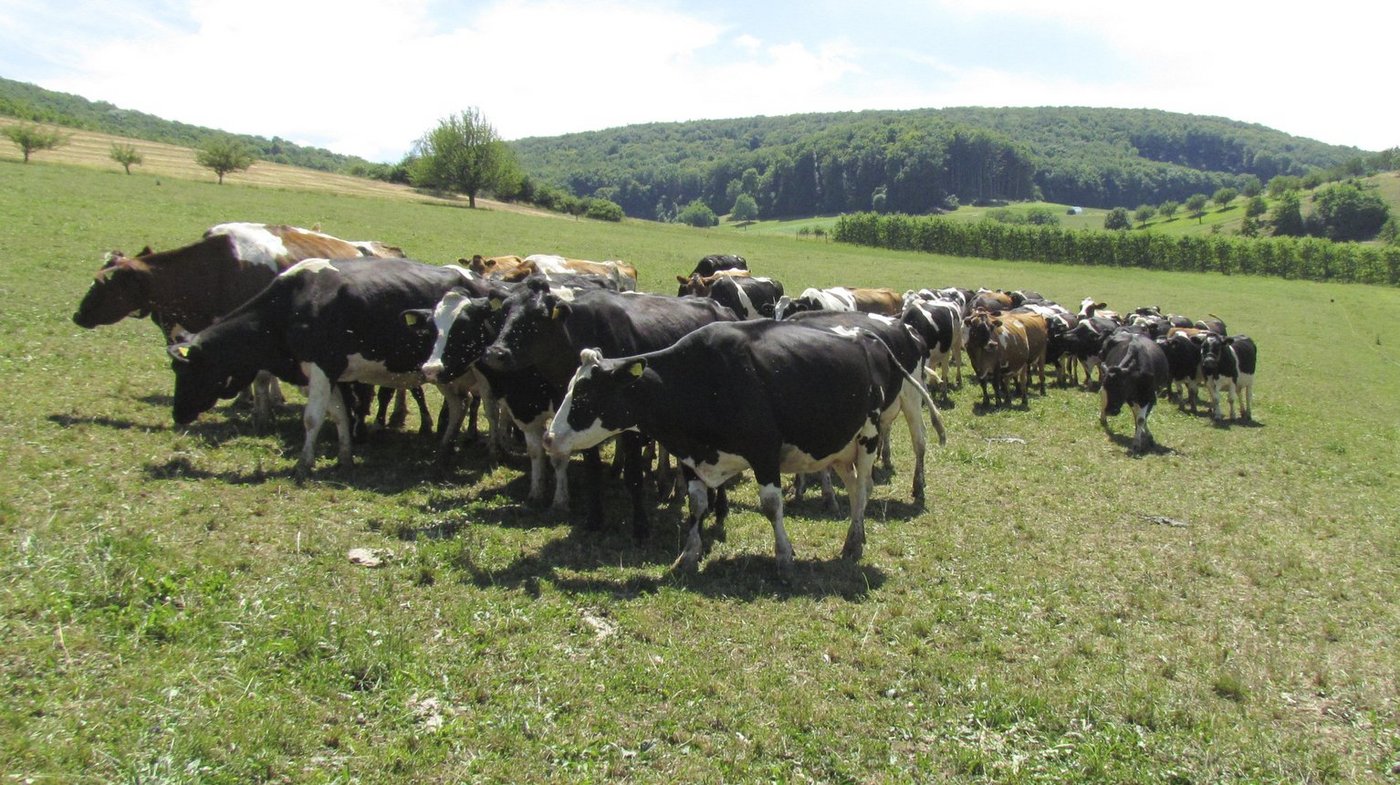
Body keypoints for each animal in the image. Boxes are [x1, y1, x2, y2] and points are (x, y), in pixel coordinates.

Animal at [73, 222, 415, 430]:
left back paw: (396, 415)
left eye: (103, 284)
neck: (217, 268)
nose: (78, 315)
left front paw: (261, 414)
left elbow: (261, 378)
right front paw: (247, 401)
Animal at [167, 257, 488, 479]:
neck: (291, 306)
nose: (177, 415)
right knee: (459, 405)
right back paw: (445, 449)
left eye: (185, 371)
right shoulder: (331, 373)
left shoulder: (321, 367)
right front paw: (345, 457)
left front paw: (303, 465)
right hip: (445, 371)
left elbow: (312, 418)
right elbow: (339, 414)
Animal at [478, 280, 738, 536]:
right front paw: (594, 519)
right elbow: (592, 471)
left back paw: (719, 506)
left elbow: (633, 476)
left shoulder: (630, 428)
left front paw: (640, 527)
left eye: (538, 315)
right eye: (504, 311)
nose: (496, 353)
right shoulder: (583, 425)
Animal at [542, 319, 940, 576]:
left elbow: (771, 505)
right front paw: (688, 555)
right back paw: (854, 539)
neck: (702, 378)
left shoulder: (763, 452)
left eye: (585, 396)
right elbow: (697, 506)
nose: (549, 438)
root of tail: (871, 335)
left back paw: (854, 541)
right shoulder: (692, 457)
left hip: (869, 437)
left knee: (864, 490)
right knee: (857, 487)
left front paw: (784, 558)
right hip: (840, 448)